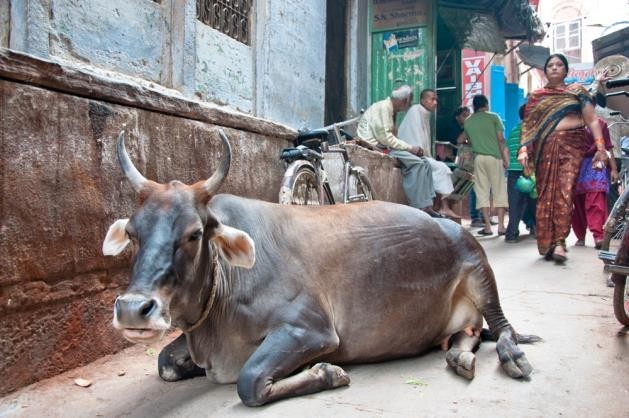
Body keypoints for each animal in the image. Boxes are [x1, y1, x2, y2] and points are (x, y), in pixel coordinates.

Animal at [103, 129, 536, 406]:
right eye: (133, 232)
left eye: (194, 233)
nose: (133, 310)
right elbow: (164, 364)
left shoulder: (310, 329)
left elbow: (249, 381)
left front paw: (327, 373)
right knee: (469, 334)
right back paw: (460, 358)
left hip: (479, 267)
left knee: (503, 327)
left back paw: (512, 357)